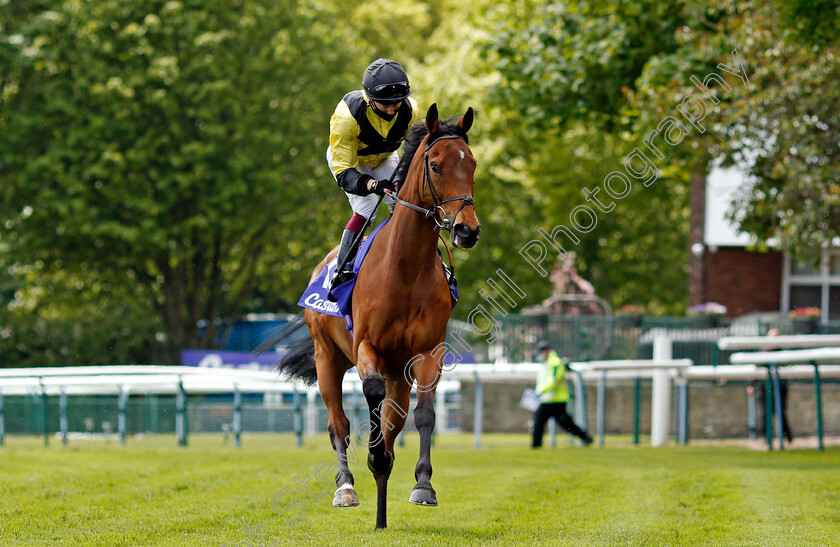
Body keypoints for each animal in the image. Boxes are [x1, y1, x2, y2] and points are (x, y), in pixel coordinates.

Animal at [270, 104, 480, 532]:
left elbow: (424, 414)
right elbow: (369, 395)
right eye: (436, 165)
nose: (467, 230)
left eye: (473, 164)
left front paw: (422, 485)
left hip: (398, 372)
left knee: (393, 420)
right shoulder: (367, 346)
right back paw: (346, 486)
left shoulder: (428, 352)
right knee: (339, 424)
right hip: (328, 358)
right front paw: (375, 459)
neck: (405, 269)